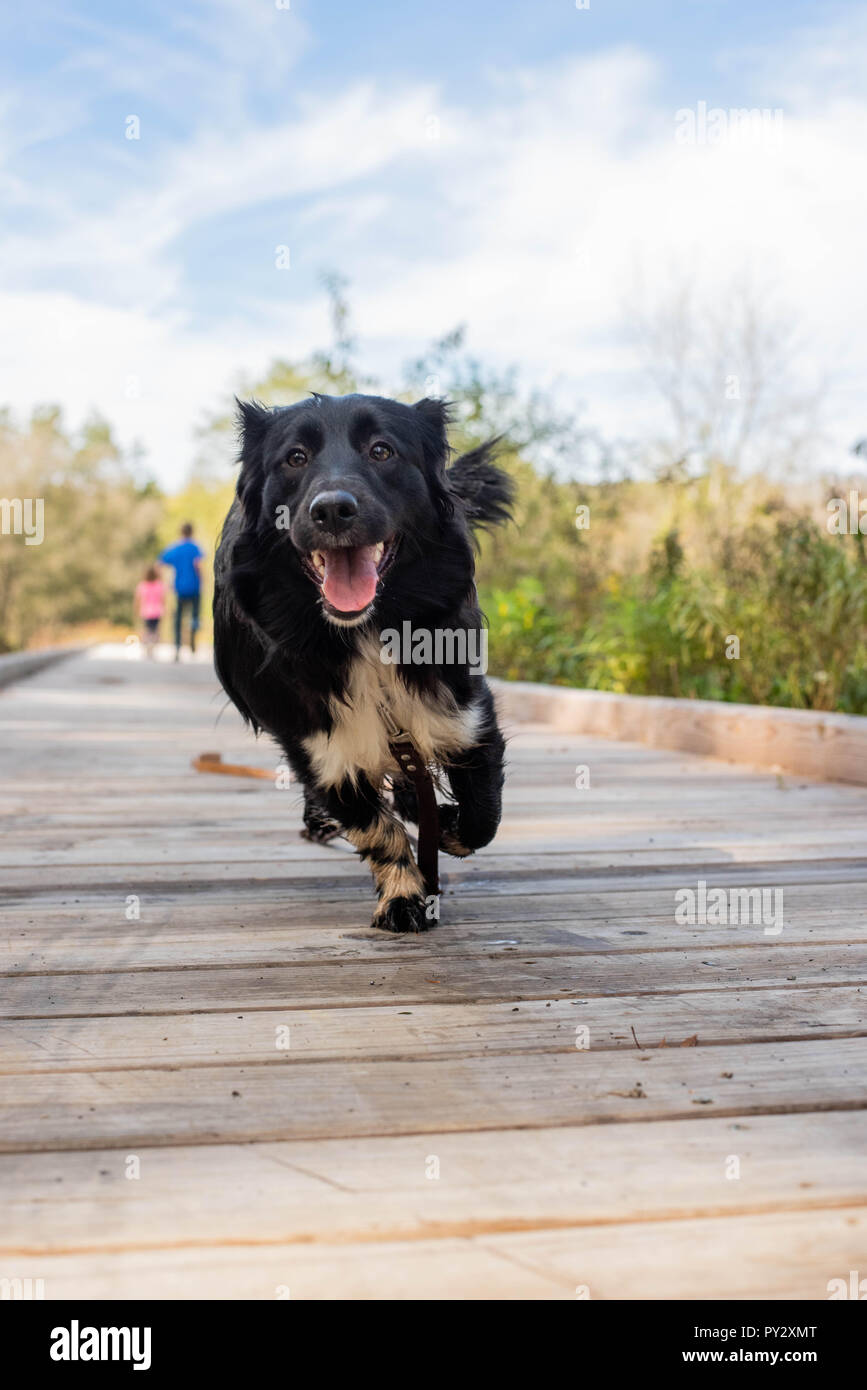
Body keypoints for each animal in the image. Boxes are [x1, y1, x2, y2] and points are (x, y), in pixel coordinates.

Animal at [213, 391, 511, 934]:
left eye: (381, 450)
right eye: (295, 458)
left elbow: (483, 812)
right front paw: (404, 896)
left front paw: (447, 826)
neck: (366, 634)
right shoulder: (317, 744)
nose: (332, 510)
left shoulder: (466, 712)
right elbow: (374, 827)